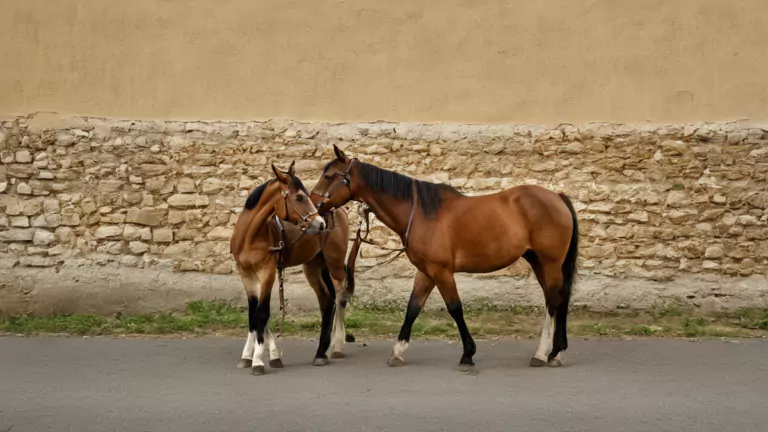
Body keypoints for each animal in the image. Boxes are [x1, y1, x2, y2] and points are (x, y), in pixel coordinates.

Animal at [230, 161, 353, 375]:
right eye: (299, 197)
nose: (320, 223)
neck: (250, 236)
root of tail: (338, 210)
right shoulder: (246, 274)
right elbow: (253, 314)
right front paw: (251, 356)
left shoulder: (268, 272)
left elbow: (262, 313)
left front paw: (259, 361)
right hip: (314, 266)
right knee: (326, 300)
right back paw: (321, 353)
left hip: (334, 263)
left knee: (340, 298)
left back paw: (337, 346)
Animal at [310, 145, 579, 372]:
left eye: (329, 175)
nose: (312, 208)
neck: (420, 213)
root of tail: (557, 196)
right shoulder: (426, 271)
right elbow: (413, 307)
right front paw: (398, 351)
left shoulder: (441, 271)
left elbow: (455, 308)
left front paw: (468, 354)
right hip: (537, 261)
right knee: (556, 299)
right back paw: (555, 352)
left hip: (550, 263)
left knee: (554, 301)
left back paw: (544, 353)